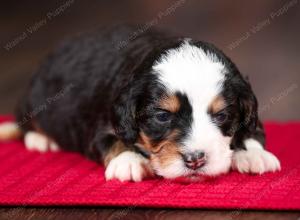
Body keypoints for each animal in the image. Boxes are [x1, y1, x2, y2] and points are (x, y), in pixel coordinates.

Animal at [0, 24, 282, 182]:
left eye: (222, 115)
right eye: (162, 116)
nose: (195, 160)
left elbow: (251, 131)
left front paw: (254, 154)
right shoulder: (103, 124)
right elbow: (113, 141)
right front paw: (129, 161)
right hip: (35, 99)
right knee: (26, 122)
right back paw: (41, 139)